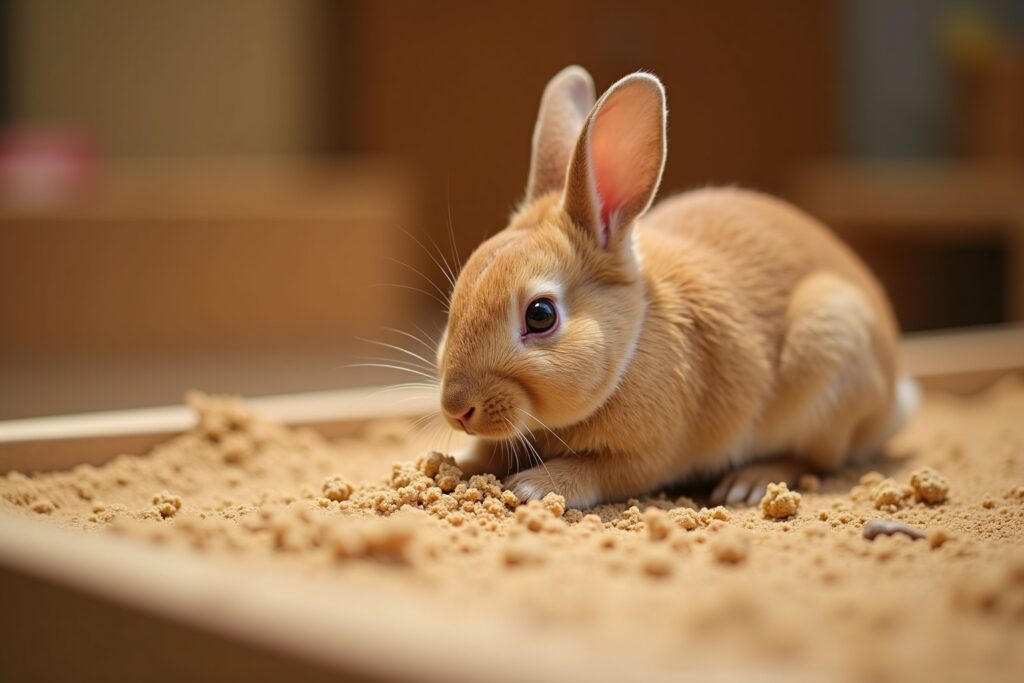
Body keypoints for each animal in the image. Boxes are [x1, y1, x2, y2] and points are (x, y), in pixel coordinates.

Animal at [435, 65, 917, 509]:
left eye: (540, 315)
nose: (456, 410)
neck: (629, 348)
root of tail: (894, 398)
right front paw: (450, 464)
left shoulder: (649, 455)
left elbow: (600, 471)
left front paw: (531, 487)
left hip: (831, 343)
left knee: (817, 458)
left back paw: (748, 483)